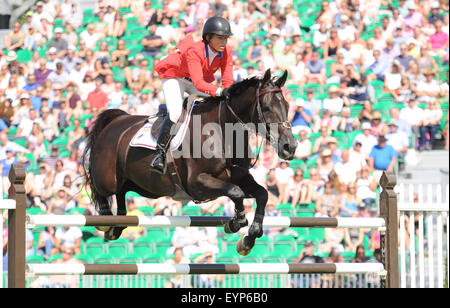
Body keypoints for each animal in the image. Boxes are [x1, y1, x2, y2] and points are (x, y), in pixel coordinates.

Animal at [83, 70, 298, 255]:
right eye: (267, 108)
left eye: (288, 107)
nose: (290, 147)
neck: (222, 132)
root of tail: (116, 121)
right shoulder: (197, 183)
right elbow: (236, 192)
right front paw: (237, 220)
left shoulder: (241, 176)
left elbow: (262, 194)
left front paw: (248, 238)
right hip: (108, 177)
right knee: (101, 189)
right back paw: (105, 219)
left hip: (143, 187)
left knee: (121, 193)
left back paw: (116, 227)